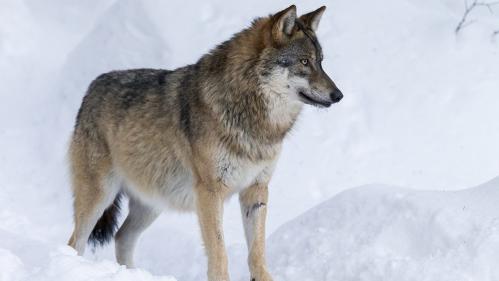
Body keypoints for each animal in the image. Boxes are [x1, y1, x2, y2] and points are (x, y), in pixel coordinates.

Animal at [68, 4, 344, 280]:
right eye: (304, 62)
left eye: (320, 62)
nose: (338, 95)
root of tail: (92, 87)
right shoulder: (210, 193)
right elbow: (219, 253)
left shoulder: (256, 190)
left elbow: (257, 252)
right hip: (100, 196)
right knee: (75, 242)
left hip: (152, 204)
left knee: (121, 238)